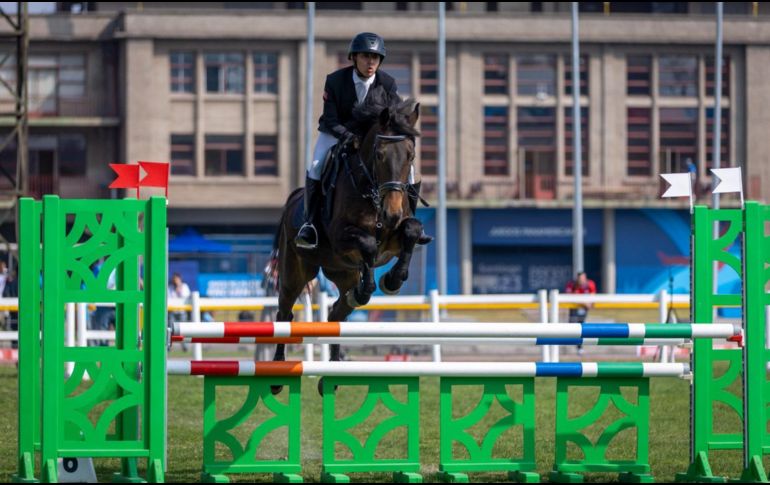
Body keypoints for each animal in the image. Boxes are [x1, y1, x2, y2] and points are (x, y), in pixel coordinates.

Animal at [268, 92, 426, 392]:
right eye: (379, 155)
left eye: (410, 156)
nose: (391, 214)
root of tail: (293, 199)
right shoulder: (342, 237)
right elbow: (368, 244)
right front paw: (376, 282)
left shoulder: (395, 238)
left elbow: (412, 231)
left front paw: (392, 280)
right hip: (296, 272)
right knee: (285, 313)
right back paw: (277, 377)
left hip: (341, 272)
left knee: (336, 313)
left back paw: (331, 375)